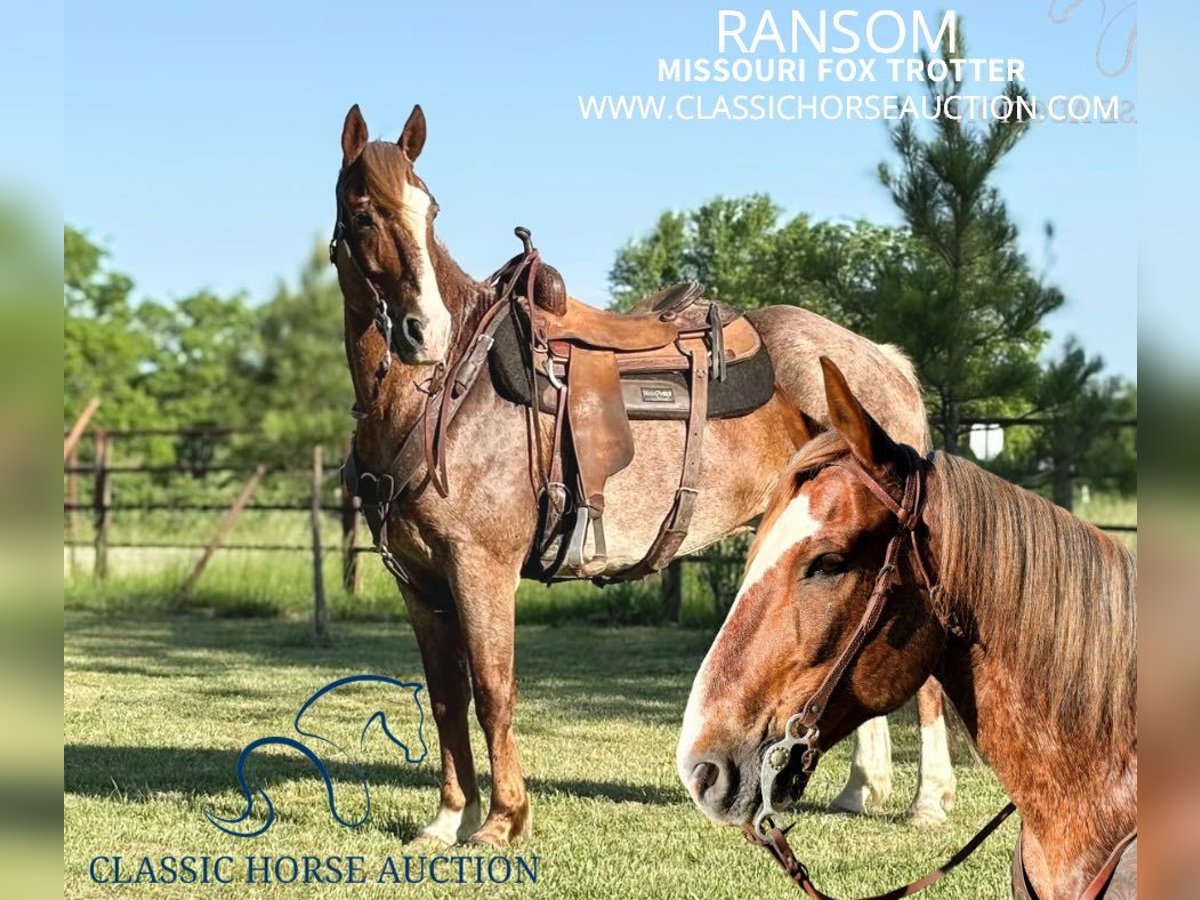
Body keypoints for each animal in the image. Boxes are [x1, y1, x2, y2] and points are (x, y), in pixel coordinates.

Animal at [336, 103, 955, 844]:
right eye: (363, 213)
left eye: (428, 210)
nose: (421, 331)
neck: (446, 389)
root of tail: (883, 360)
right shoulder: (420, 582)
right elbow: (446, 698)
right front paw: (448, 820)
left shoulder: (480, 569)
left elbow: (491, 691)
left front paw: (504, 821)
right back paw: (860, 789)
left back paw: (927, 800)